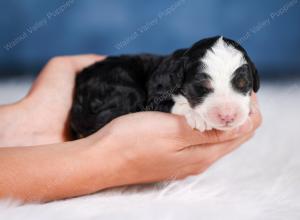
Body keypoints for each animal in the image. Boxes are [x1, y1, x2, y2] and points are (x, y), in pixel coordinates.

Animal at [69, 36, 258, 139]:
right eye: (201, 88)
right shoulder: (155, 97)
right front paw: (198, 117)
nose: (228, 116)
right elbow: (175, 104)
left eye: (243, 84)